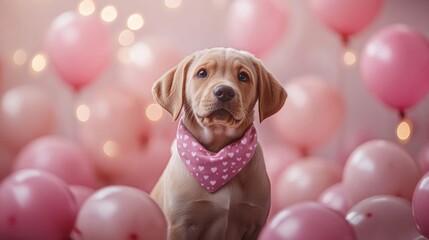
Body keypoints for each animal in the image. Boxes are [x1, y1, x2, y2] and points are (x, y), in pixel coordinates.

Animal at [149, 47, 286, 240]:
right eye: (202, 73)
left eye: (243, 76)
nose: (225, 91)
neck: (217, 155)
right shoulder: (179, 225)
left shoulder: (255, 224)